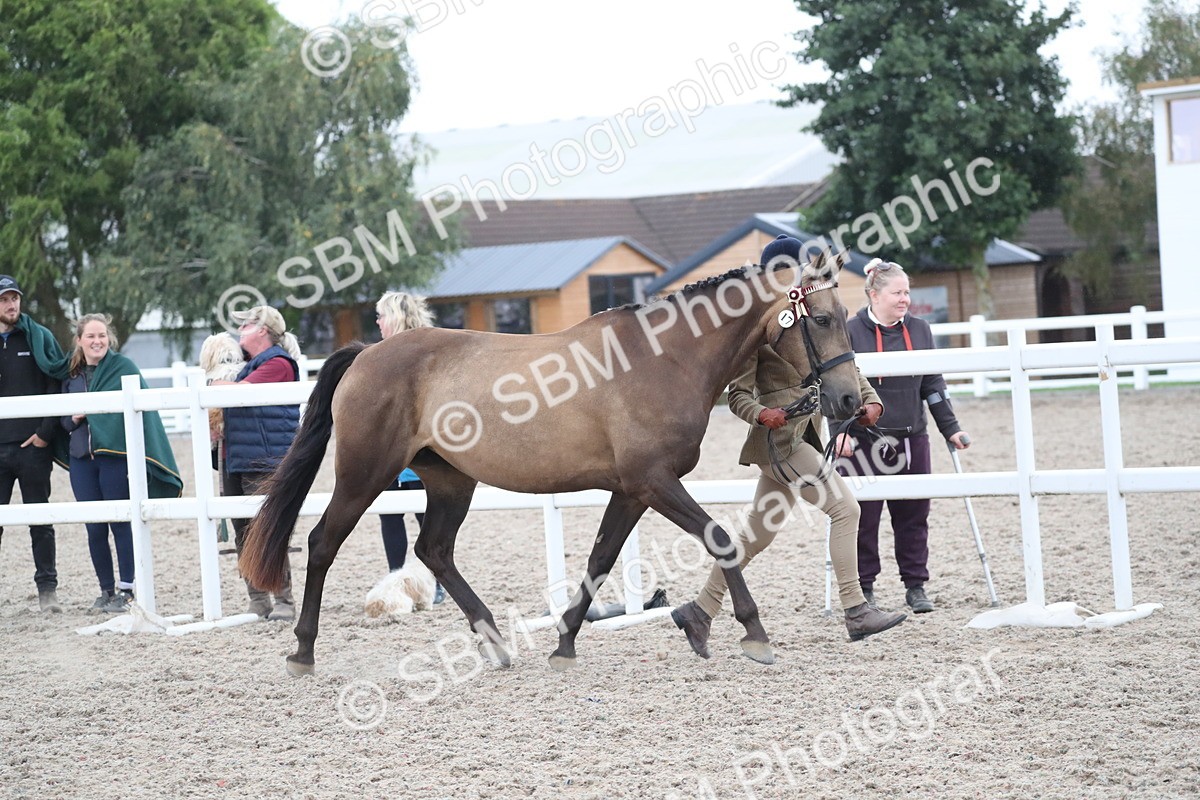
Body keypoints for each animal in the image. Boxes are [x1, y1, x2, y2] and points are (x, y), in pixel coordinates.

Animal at [240, 250, 863, 675]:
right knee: (322, 543)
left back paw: (495, 643)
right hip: (364, 475)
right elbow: (720, 538)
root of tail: (367, 354)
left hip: (449, 481)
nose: (849, 401)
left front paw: (564, 643)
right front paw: (754, 633)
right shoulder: (654, 482)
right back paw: (303, 650)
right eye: (822, 319)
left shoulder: (632, 490)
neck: (664, 359)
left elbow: (601, 558)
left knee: (434, 550)